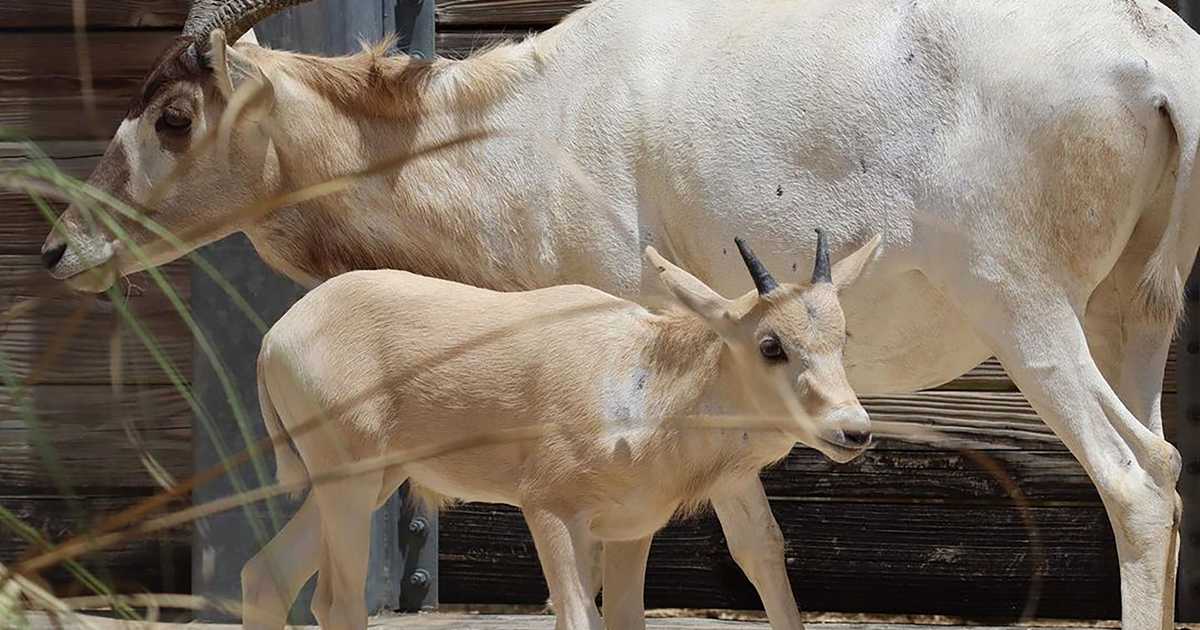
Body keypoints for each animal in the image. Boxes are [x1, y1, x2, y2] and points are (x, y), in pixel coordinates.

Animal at [243, 234, 883, 628]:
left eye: (843, 337)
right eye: (770, 344)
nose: (852, 430)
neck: (642, 378)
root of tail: (278, 335)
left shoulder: (630, 529)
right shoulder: (549, 510)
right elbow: (578, 618)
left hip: (372, 482)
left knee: (266, 575)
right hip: (347, 484)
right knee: (336, 601)